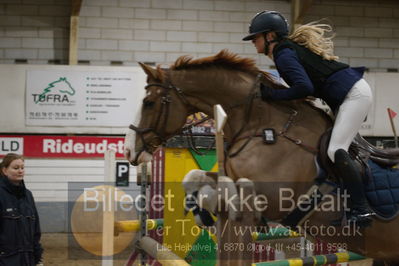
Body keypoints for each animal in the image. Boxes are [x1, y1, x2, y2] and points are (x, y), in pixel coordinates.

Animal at [124, 50, 399, 264]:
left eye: (149, 103)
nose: (128, 150)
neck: (262, 125)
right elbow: (195, 176)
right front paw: (202, 212)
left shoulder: (270, 196)